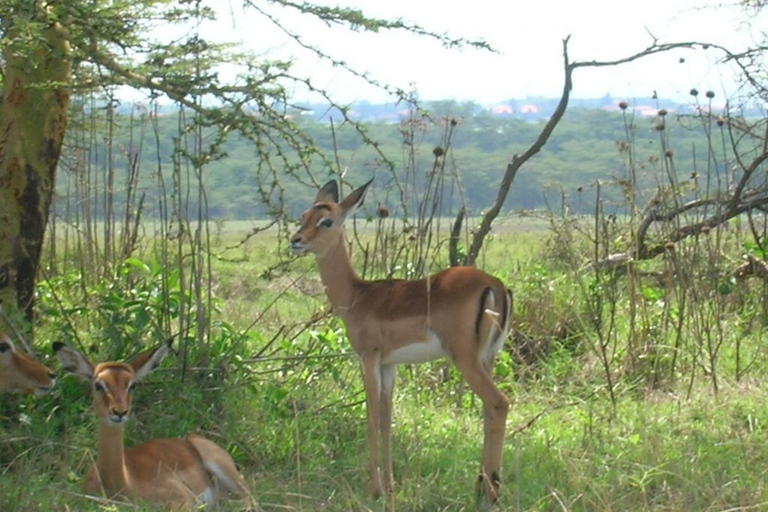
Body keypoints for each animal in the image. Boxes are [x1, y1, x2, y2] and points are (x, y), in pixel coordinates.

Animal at [55, 338, 258, 510]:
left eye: (132, 385)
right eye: (98, 385)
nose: (119, 412)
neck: (122, 484)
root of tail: (188, 440)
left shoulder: (183, 500)